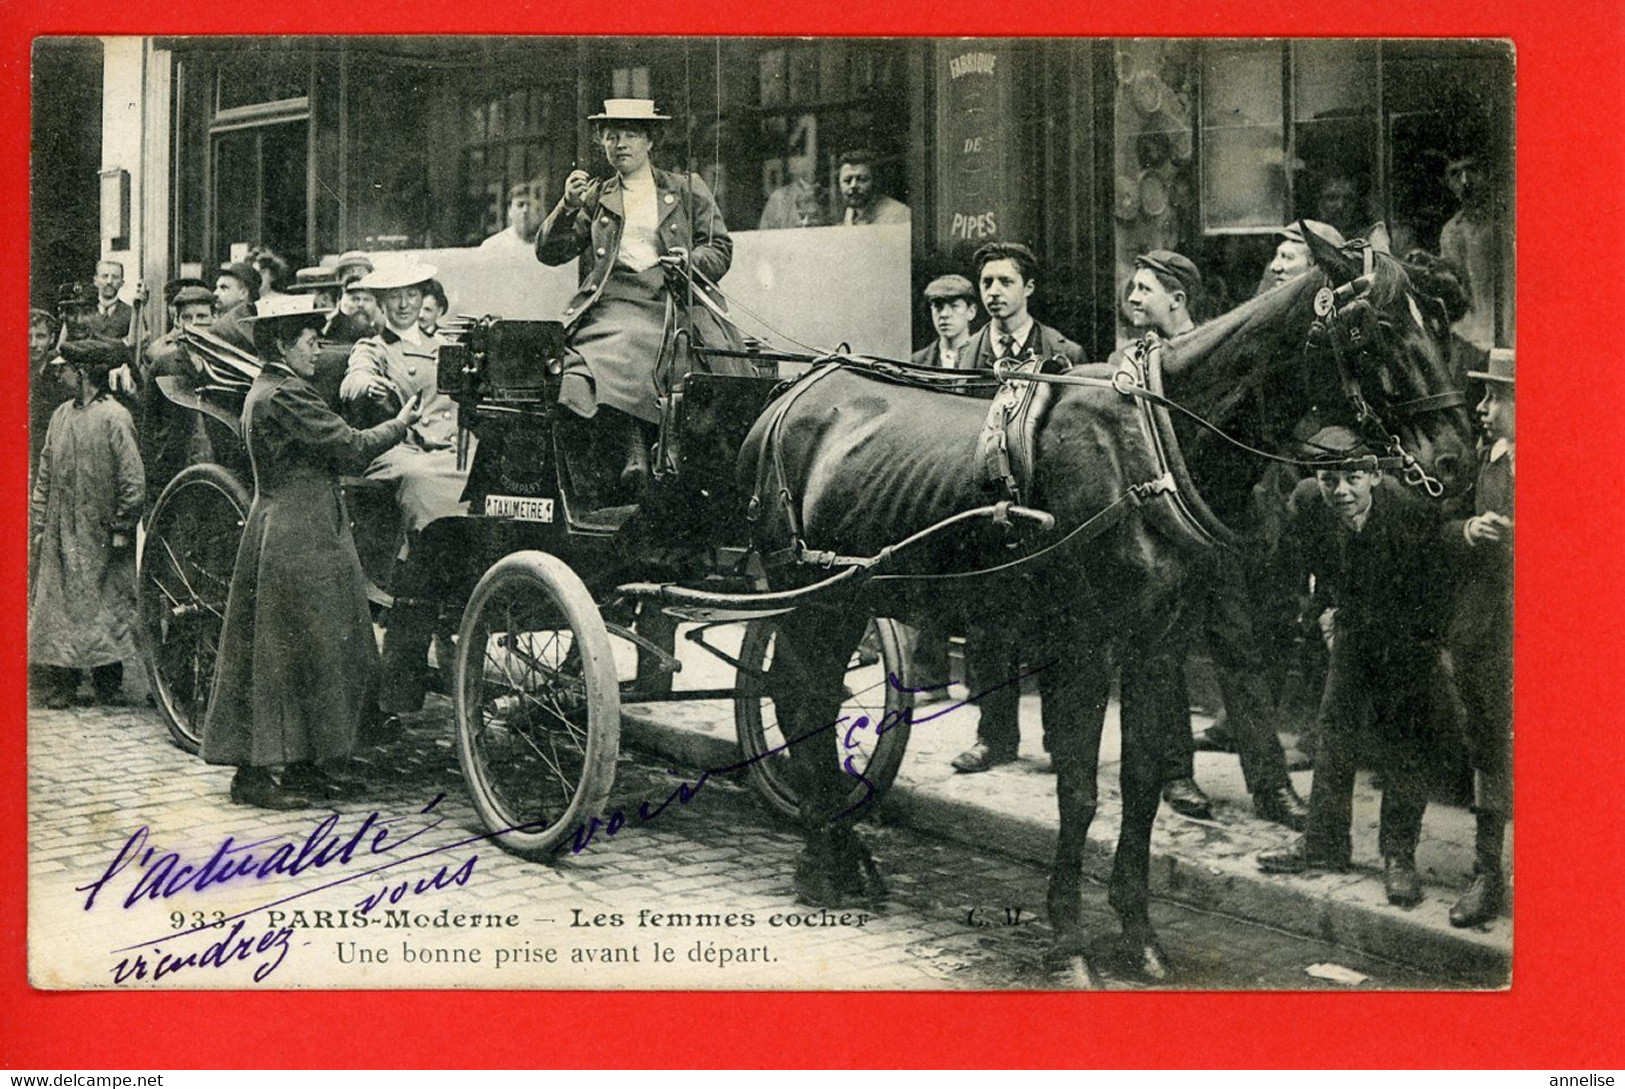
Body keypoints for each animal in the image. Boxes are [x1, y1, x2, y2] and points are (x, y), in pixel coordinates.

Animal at [744, 227, 1482, 988]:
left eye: (1439, 321)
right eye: (1378, 329)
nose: (1458, 455)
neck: (1152, 450)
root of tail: (792, 393)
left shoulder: (1156, 641)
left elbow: (1142, 782)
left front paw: (1139, 935)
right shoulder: (1086, 647)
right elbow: (1078, 791)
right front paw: (1069, 944)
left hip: (845, 594)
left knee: (809, 701)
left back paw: (841, 853)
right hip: (808, 594)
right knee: (800, 700)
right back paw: (824, 862)